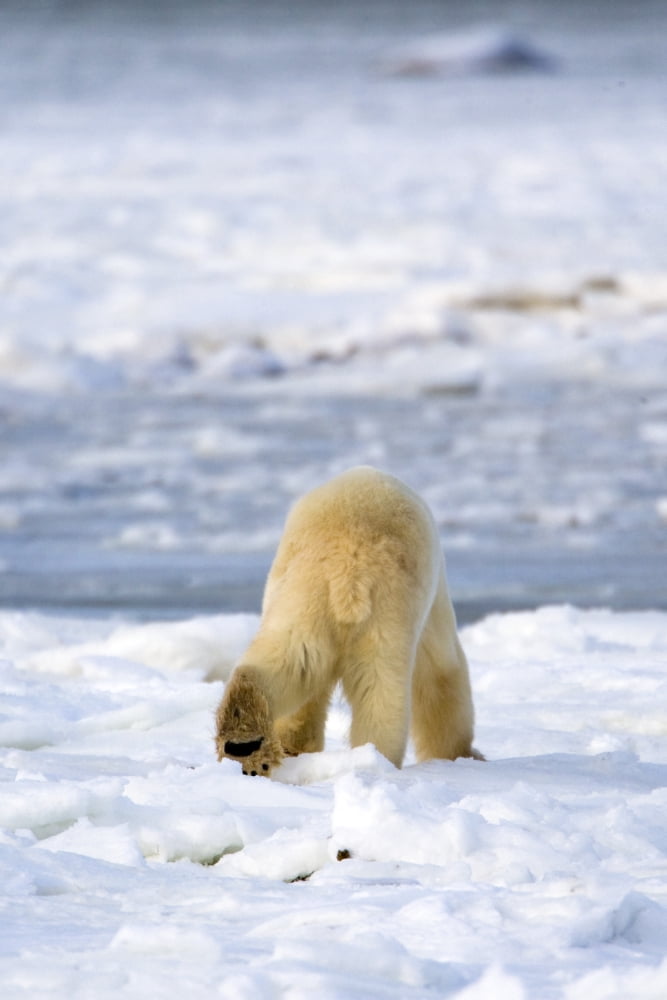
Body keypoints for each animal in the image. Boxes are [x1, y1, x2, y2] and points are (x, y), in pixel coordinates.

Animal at [215, 466, 482, 776]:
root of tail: (348, 567)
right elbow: (441, 673)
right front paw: (461, 753)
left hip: (304, 600)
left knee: (289, 661)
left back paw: (246, 742)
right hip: (384, 616)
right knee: (382, 693)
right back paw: (374, 761)